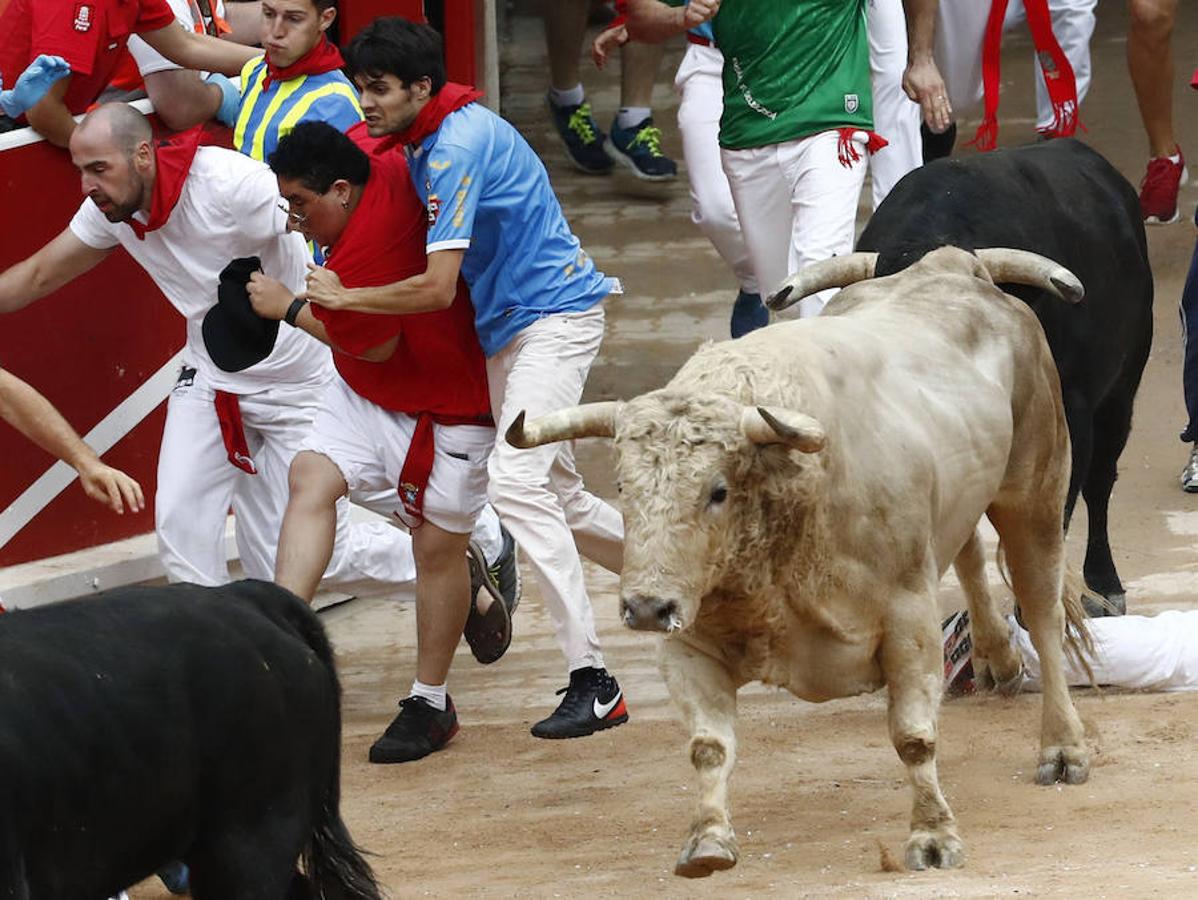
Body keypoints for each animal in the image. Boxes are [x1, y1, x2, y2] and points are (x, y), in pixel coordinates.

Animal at [507, 246, 1097, 882]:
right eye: (622, 485)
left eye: (717, 491)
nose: (645, 608)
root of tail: (953, 264)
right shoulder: (688, 643)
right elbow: (708, 746)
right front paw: (707, 841)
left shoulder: (908, 618)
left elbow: (914, 737)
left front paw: (934, 837)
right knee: (967, 552)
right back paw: (998, 658)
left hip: (1034, 492)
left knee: (1042, 609)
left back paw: (1062, 747)